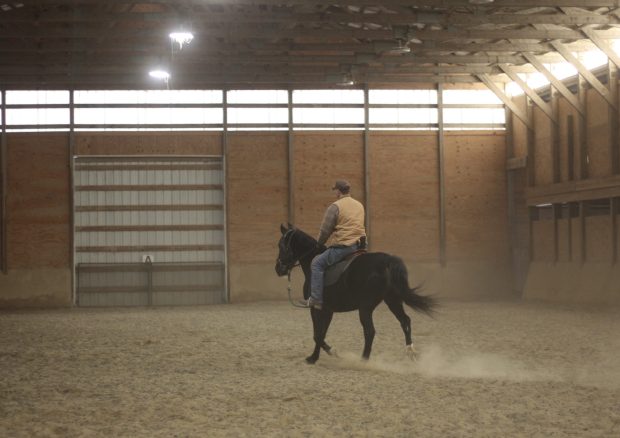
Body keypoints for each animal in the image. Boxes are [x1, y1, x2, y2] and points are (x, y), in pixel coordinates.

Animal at [274, 224, 438, 364]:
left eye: (281, 245)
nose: (278, 269)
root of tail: (388, 261)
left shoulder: (316, 308)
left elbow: (317, 334)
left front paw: (321, 355)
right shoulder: (328, 310)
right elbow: (322, 333)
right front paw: (319, 355)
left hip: (366, 307)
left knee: (370, 331)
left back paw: (363, 360)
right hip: (392, 300)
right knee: (405, 321)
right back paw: (411, 352)